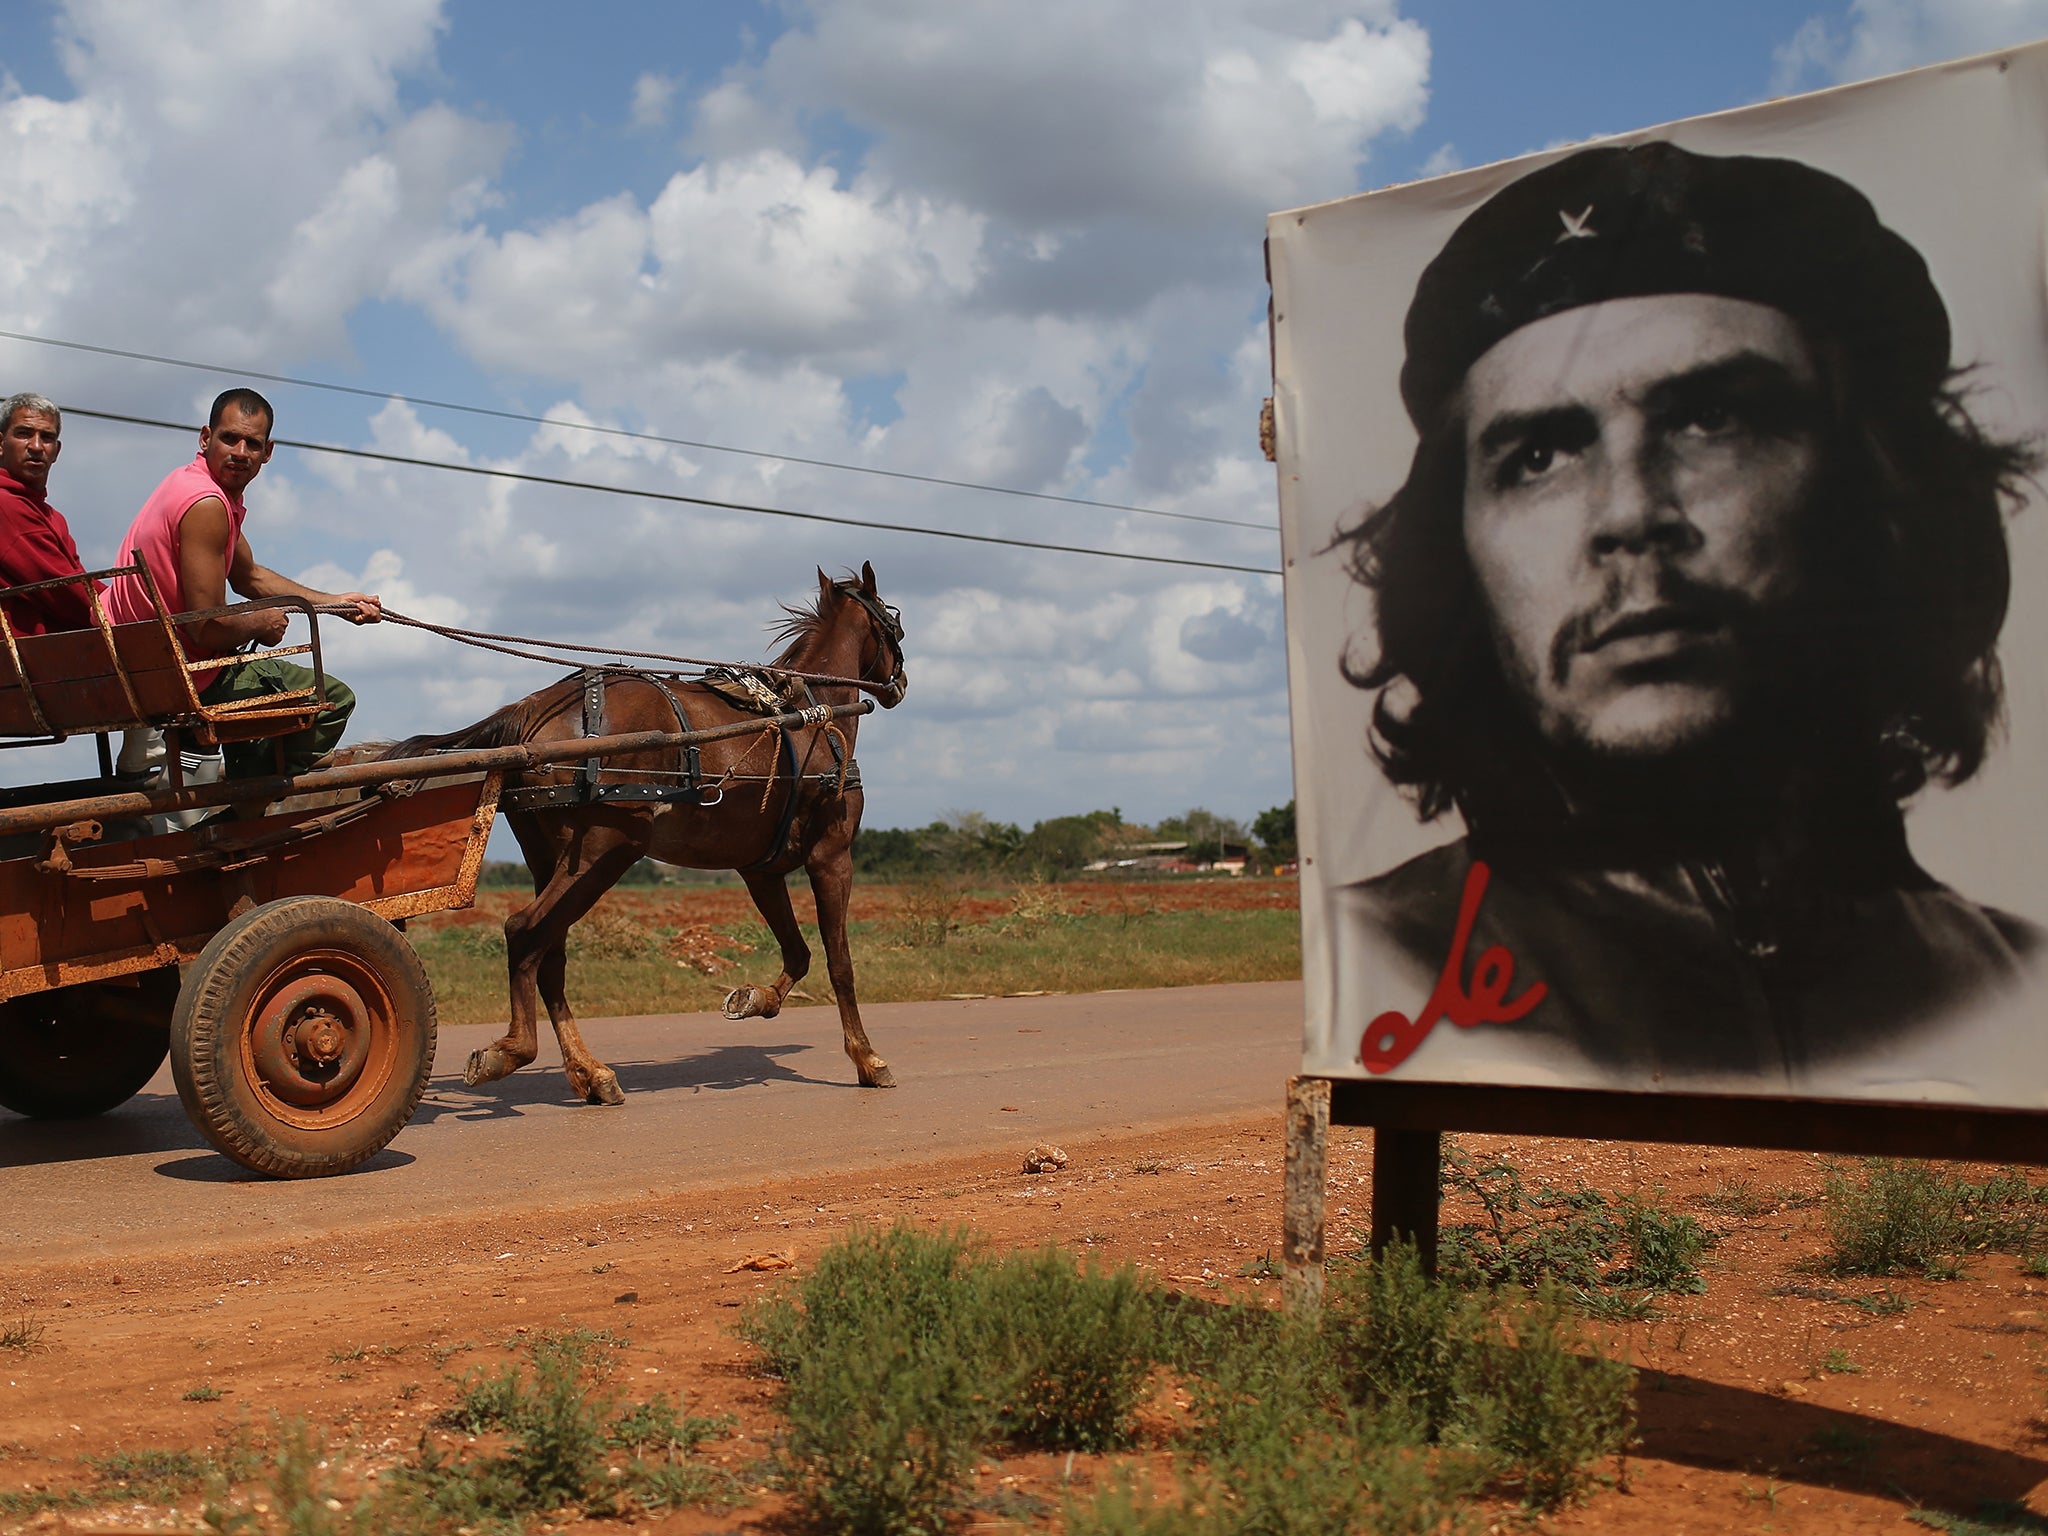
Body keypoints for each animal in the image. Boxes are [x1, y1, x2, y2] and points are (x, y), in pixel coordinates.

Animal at [385, 565, 913, 1105]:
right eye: (893, 622)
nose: (900, 682)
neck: (812, 714)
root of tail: (532, 713)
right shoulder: (832, 855)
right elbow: (839, 963)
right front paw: (867, 1058)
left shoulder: (760, 869)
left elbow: (798, 952)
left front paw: (755, 999)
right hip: (607, 849)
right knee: (525, 930)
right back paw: (513, 1050)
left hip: (552, 858)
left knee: (549, 953)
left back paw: (590, 1071)